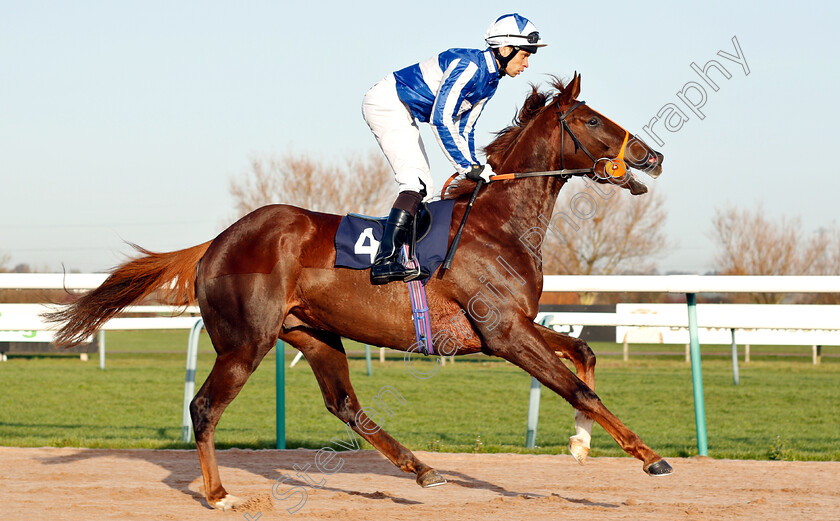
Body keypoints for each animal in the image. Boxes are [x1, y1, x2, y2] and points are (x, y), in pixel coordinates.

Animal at [47, 72, 676, 508]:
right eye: (592, 120)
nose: (653, 155)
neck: (495, 224)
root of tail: (214, 243)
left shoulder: (514, 325)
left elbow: (585, 353)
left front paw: (579, 445)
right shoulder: (503, 333)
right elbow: (579, 388)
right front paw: (651, 458)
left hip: (313, 333)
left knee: (344, 404)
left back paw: (422, 468)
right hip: (246, 342)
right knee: (204, 408)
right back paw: (220, 494)